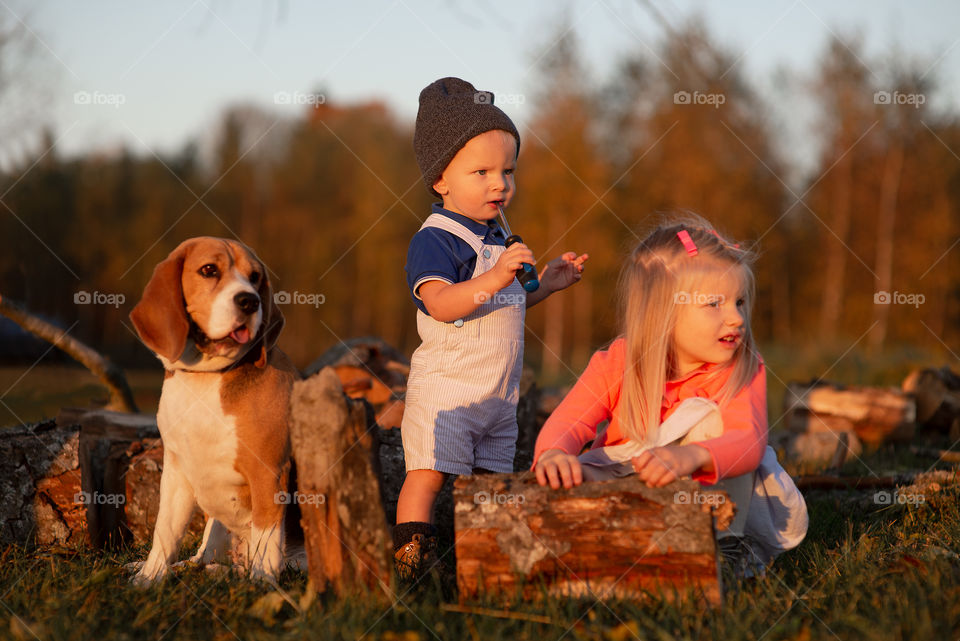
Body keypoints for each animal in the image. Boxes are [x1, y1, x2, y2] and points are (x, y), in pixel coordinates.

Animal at [129, 236, 296, 584]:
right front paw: (149, 578)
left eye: (255, 277)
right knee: (201, 557)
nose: (249, 302)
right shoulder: (176, 471)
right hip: (214, 530)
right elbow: (165, 532)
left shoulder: (269, 472)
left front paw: (263, 583)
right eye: (209, 270)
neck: (207, 378)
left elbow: (267, 536)